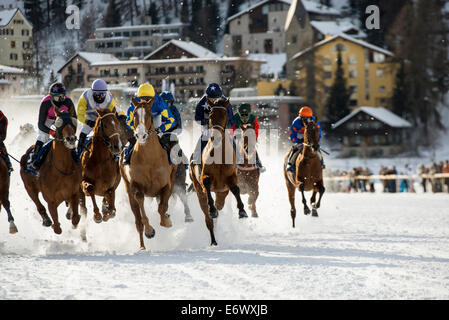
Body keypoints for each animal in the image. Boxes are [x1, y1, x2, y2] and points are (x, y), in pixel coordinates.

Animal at [121, 97, 177, 250]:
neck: (150, 159)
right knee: (137, 221)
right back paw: (142, 246)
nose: (140, 135)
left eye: (149, 114)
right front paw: (149, 230)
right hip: (129, 192)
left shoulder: (167, 185)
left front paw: (167, 221)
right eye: (134, 114)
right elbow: (141, 202)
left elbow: (162, 208)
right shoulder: (135, 186)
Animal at [187, 99, 247, 246]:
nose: (216, 137)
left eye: (224, 114)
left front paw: (242, 211)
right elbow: (206, 182)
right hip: (198, 191)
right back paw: (213, 239)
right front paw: (212, 209)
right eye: (211, 114)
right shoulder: (203, 178)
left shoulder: (230, 178)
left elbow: (235, 188)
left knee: (219, 205)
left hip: (222, 193)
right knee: (207, 216)